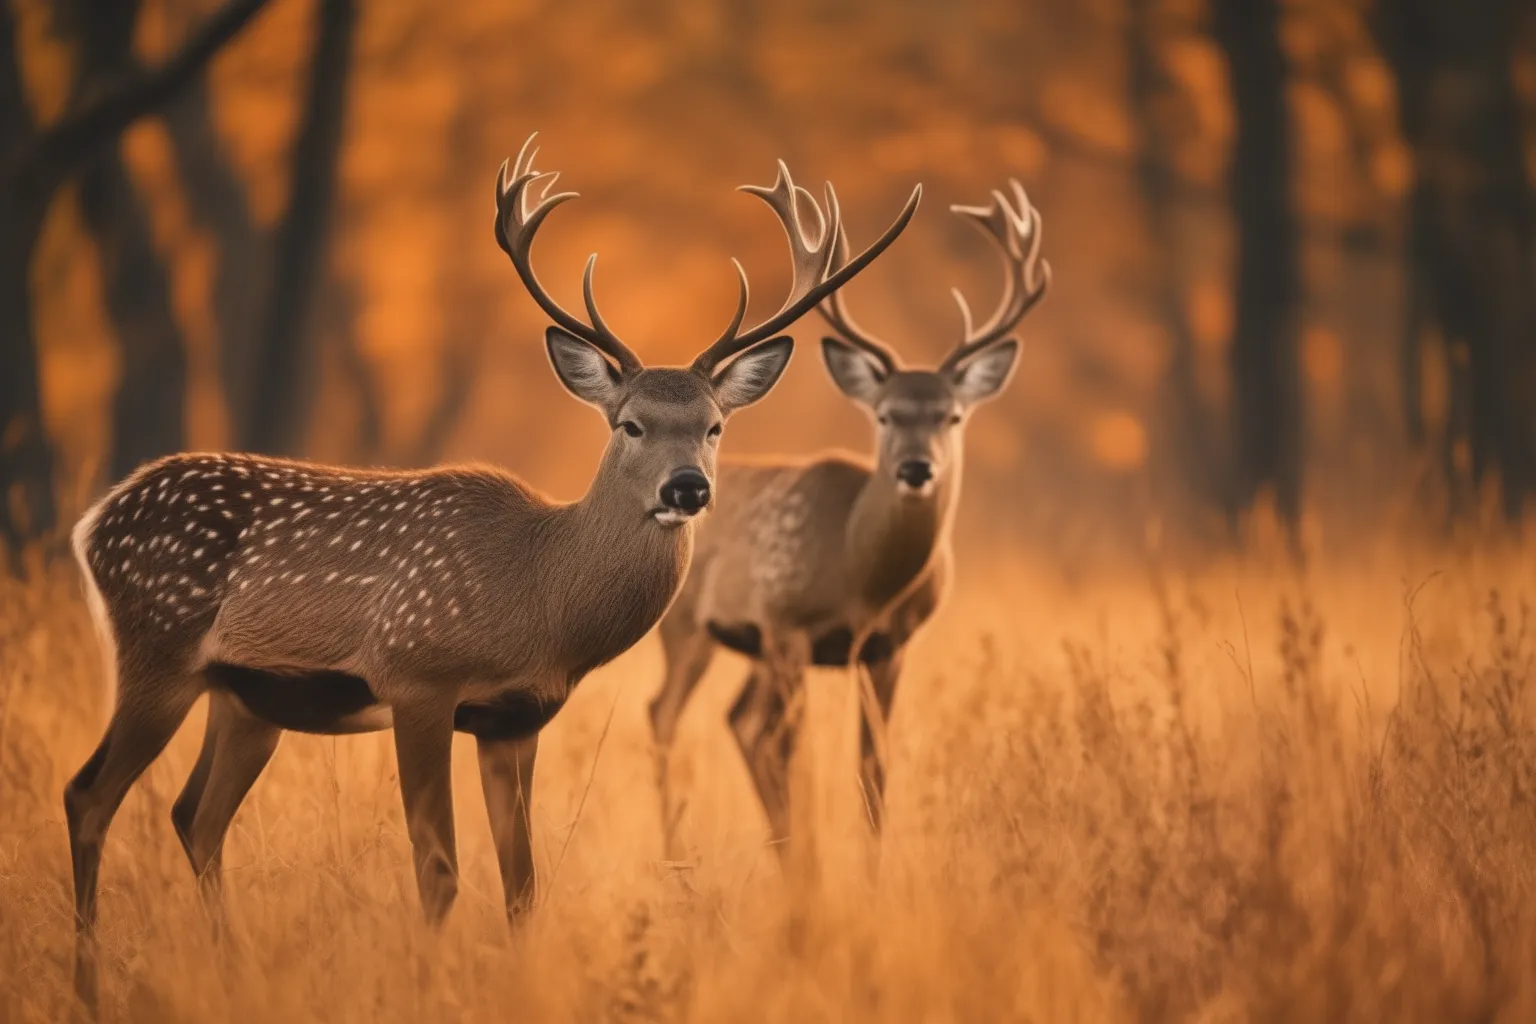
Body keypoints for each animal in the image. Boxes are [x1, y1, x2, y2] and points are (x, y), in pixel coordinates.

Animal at [62, 132, 921, 1007]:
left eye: (716, 425)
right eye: (630, 424)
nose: (688, 487)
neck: (535, 603)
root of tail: (94, 522)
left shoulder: (515, 719)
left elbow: (523, 884)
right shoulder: (417, 677)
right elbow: (439, 872)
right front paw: (426, 989)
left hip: (247, 696)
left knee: (194, 816)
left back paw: (229, 975)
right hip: (157, 648)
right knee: (90, 794)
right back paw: (90, 986)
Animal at [642, 178, 1050, 859]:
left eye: (952, 416)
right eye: (883, 414)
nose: (916, 468)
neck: (862, 578)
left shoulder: (888, 646)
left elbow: (872, 768)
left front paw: (867, 868)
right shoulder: (788, 625)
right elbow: (800, 757)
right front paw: (822, 868)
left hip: (750, 648)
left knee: (739, 723)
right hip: (689, 627)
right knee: (671, 715)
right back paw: (680, 857)